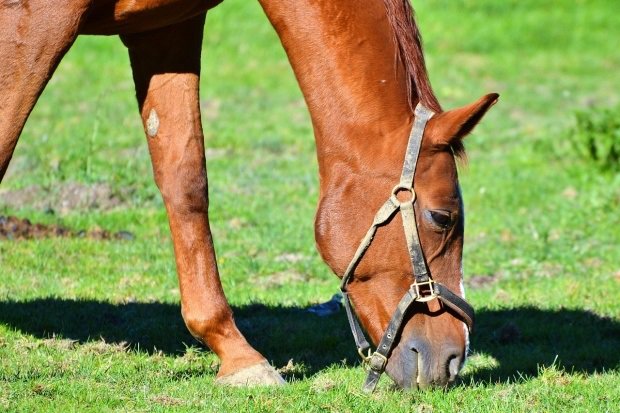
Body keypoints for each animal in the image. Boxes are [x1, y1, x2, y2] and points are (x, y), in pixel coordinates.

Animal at [0, 0, 496, 390]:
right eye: (442, 217)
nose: (454, 359)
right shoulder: (36, 19)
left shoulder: (164, 27)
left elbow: (185, 179)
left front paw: (236, 355)